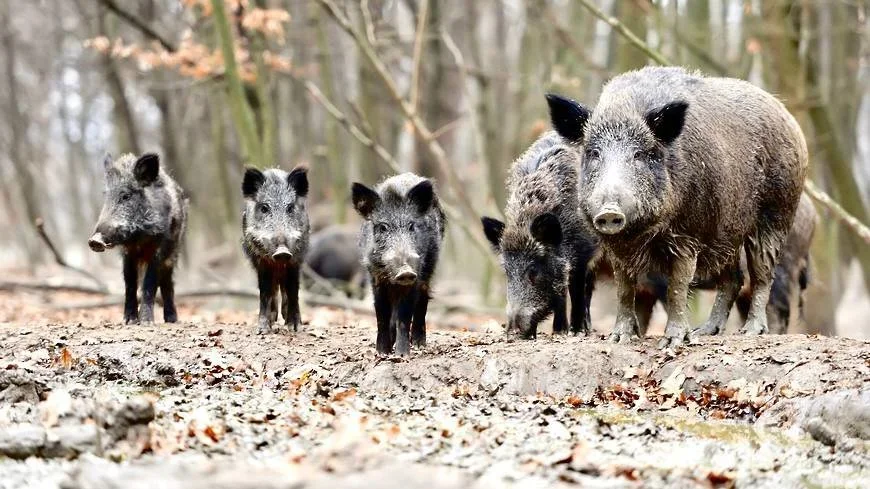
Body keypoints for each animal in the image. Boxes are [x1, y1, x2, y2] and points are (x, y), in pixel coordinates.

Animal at [88, 153, 188, 325]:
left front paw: (146, 322)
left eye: (126, 196)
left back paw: (171, 319)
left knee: (167, 282)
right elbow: (130, 283)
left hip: (173, 253)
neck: (139, 238)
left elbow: (149, 283)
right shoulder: (127, 253)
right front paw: (129, 321)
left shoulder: (159, 248)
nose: (95, 240)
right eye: (106, 196)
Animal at [242, 166, 310, 334]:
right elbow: (265, 291)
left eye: (290, 208)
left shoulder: (295, 260)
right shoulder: (261, 262)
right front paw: (262, 329)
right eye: (264, 208)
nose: (282, 251)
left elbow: (293, 289)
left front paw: (295, 327)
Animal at [351, 173, 445, 356]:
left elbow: (404, 315)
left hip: (430, 266)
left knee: (423, 300)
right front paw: (382, 352)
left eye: (411, 226)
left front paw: (402, 355)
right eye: (382, 227)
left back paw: (419, 344)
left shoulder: (415, 276)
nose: (405, 271)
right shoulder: (375, 277)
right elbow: (381, 313)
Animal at [480, 127, 597, 338]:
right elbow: (560, 293)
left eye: (533, 272)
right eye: (507, 272)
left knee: (587, 289)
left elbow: (575, 290)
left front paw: (573, 332)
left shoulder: (583, 253)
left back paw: (584, 328)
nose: (512, 329)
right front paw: (556, 332)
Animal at [548, 66, 808, 347]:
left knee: (762, 274)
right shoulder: (617, 248)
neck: (640, 234)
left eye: (639, 154)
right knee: (733, 279)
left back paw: (751, 331)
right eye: (594, 153)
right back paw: (706, 331)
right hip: (725, 232)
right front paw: (619, 339)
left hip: (776, 214)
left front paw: (673, 341)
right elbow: (625, 288)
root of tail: (788, 117)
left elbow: (678, 286)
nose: (609, 211)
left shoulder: (688, 236)